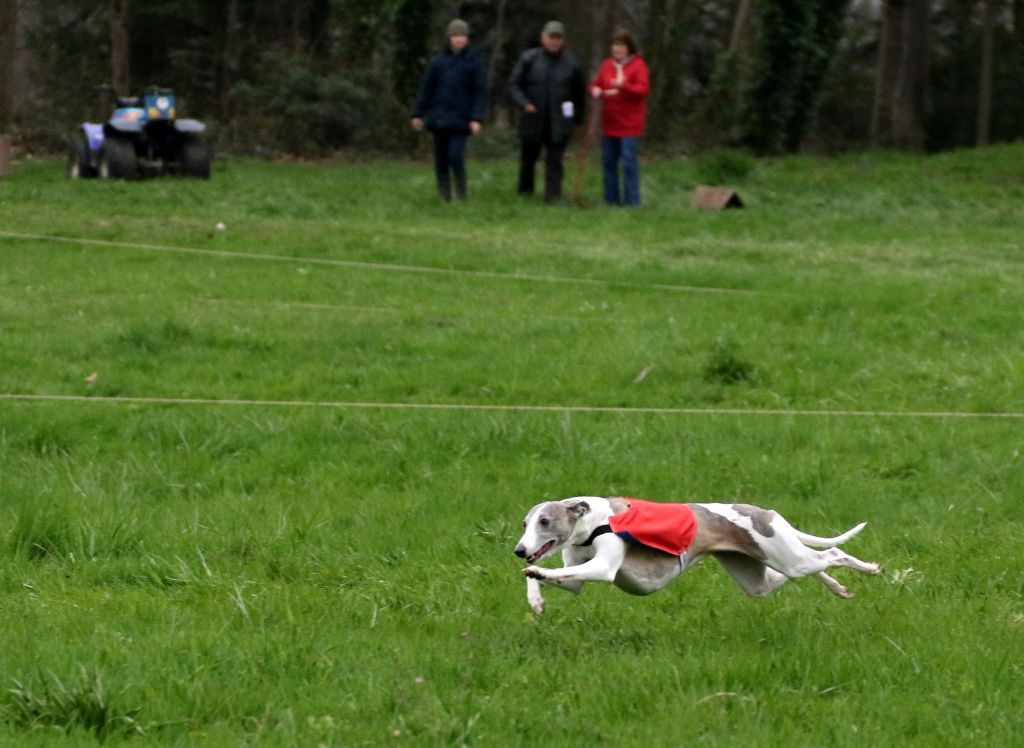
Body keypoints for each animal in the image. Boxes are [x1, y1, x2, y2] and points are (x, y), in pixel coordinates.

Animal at [512, 495, 880, 610]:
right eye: (526, 522)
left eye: (545, 522)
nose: (519, 550)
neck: (592, 520)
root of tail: (763, 511)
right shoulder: (575, 571)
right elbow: (559, 577)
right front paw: (535, 599)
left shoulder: (604, 566)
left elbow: (555, 572)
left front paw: (537, 572)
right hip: (757, 574)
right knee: (801, 571)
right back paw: (839, 588)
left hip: (784, 554)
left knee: (833, 553)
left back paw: (869, 568)